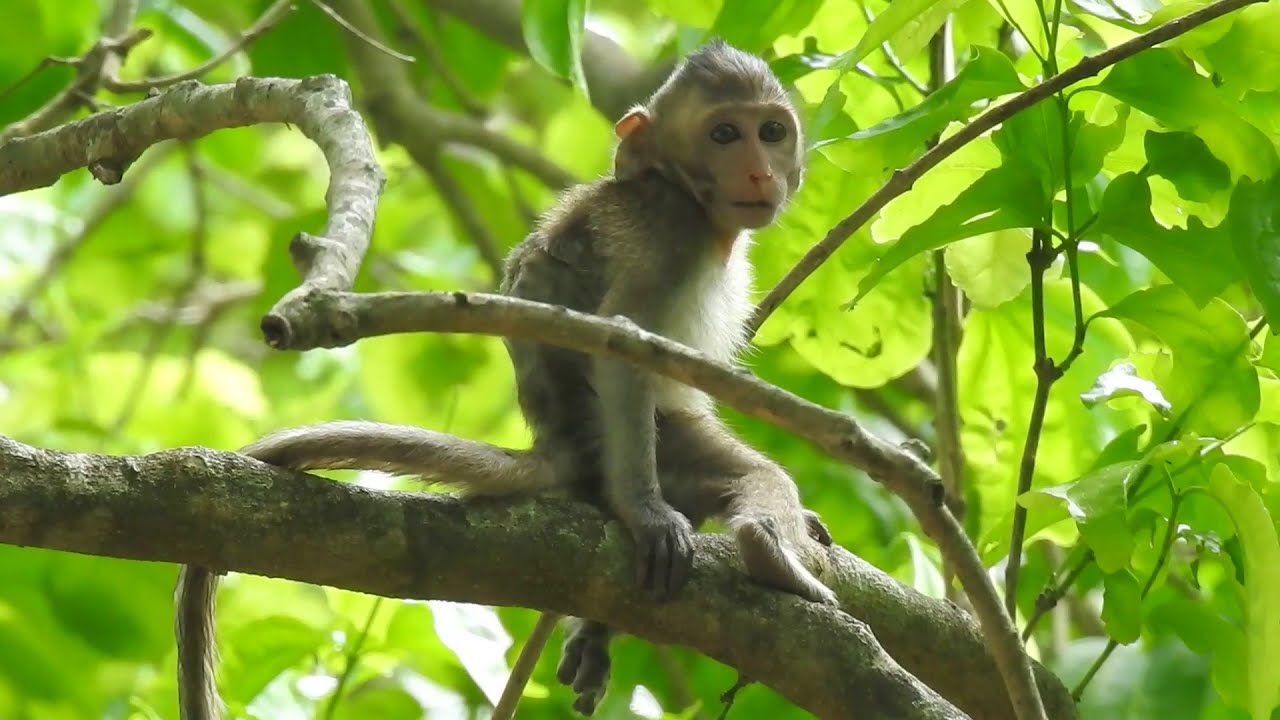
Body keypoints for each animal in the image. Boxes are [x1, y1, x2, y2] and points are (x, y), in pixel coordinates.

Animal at [175, 39, 837, 720]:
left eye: (772, 132)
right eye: (725, 134)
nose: (759, 173)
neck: (677, 190)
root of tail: (557, 441)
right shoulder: (669, 232)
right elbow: (623, 348)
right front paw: (646, 513)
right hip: (648, 441)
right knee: (753, 474)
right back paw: (765, 548)